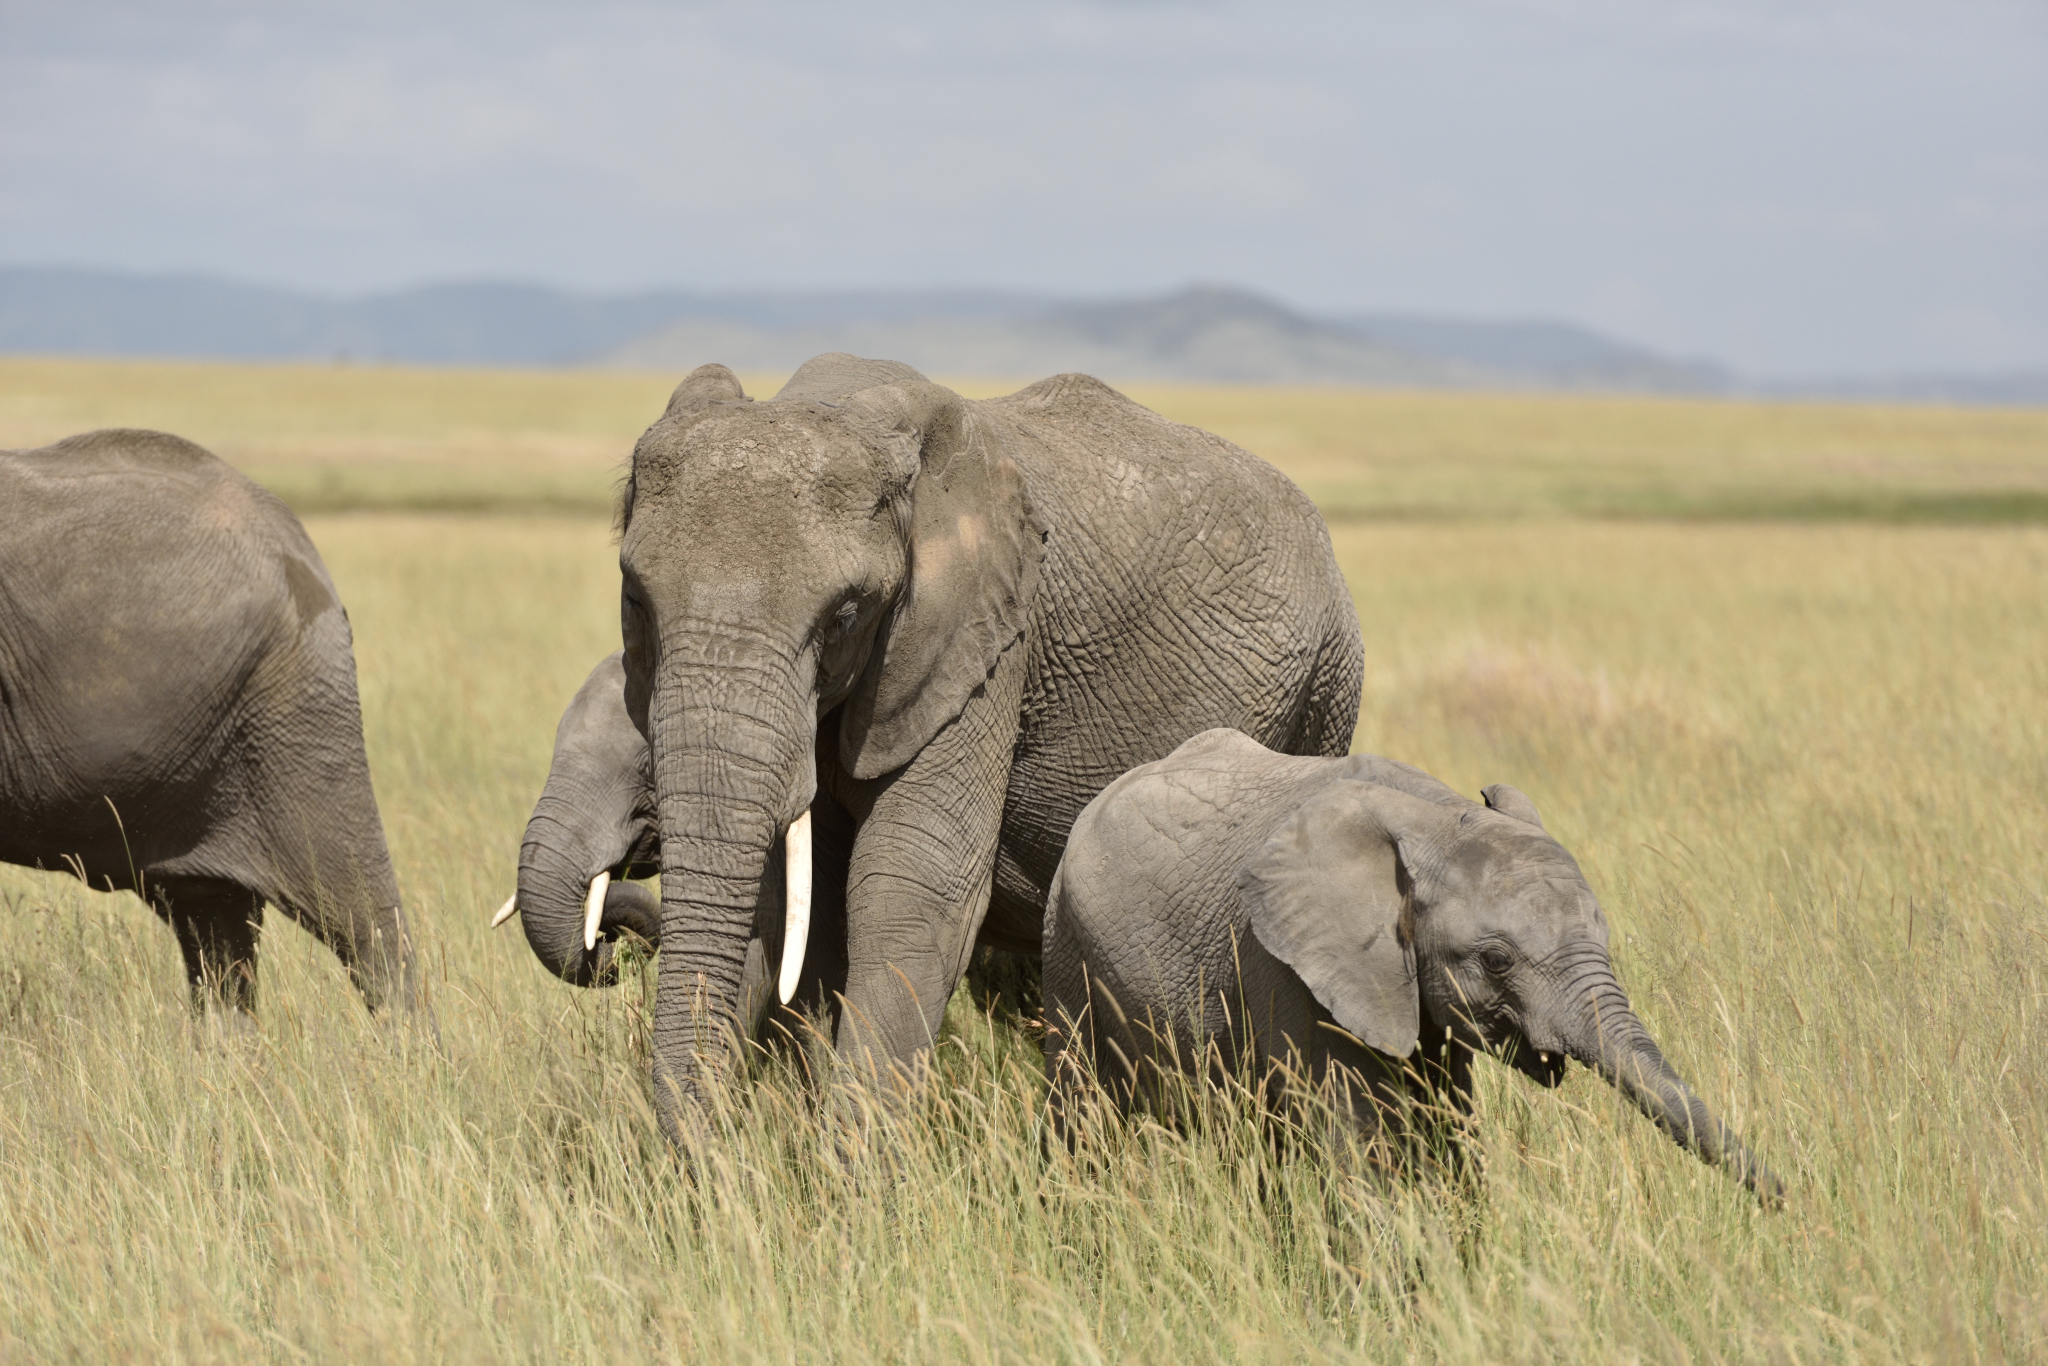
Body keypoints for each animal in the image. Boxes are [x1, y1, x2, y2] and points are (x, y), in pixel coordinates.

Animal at [614, 356, 1368, 1146]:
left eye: (844, 615)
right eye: (635, 600)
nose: (716, 1146)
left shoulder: (987, 644)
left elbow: (914, 884)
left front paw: (857, 1167)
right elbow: (798, 898)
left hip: (1325, 691)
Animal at [1048, 733, 1785, 1204]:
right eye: (1496, 960)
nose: (1788, 1195)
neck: (1437, 819)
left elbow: (1450, 1132)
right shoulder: (1284, 965)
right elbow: (1351, 1141)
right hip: (1066, 941)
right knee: (1078, 1105)